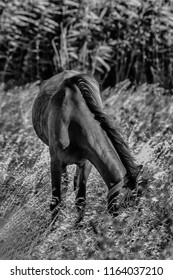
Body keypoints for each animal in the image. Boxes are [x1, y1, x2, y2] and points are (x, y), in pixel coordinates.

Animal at [32, 70, 140, 223]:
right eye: (126, 206)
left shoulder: (87, 162)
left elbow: (80, 200)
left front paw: (78, 226)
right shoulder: (56, 162)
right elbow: (55, 202)